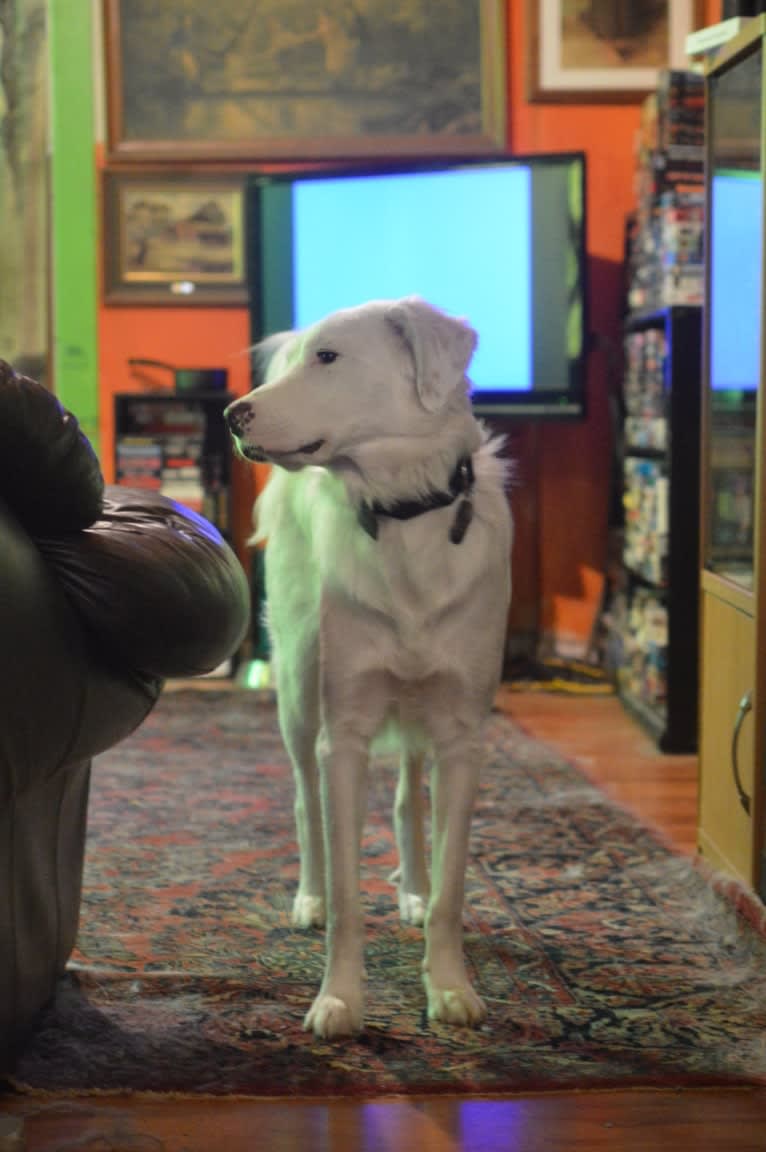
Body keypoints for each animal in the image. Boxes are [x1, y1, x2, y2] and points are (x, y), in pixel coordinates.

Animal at [224, 294, 511, 1036]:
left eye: (328, 358)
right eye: (299, 360)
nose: (233, 415)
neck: (404, 514)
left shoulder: (462, 738)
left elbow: (451, 891)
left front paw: (449, 987)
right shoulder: (343, 735)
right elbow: (350, 896)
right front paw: (340, 1000)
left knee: (410, 797)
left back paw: (410, 889)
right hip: (299, 690)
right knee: (305, 804)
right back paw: (310, 896)